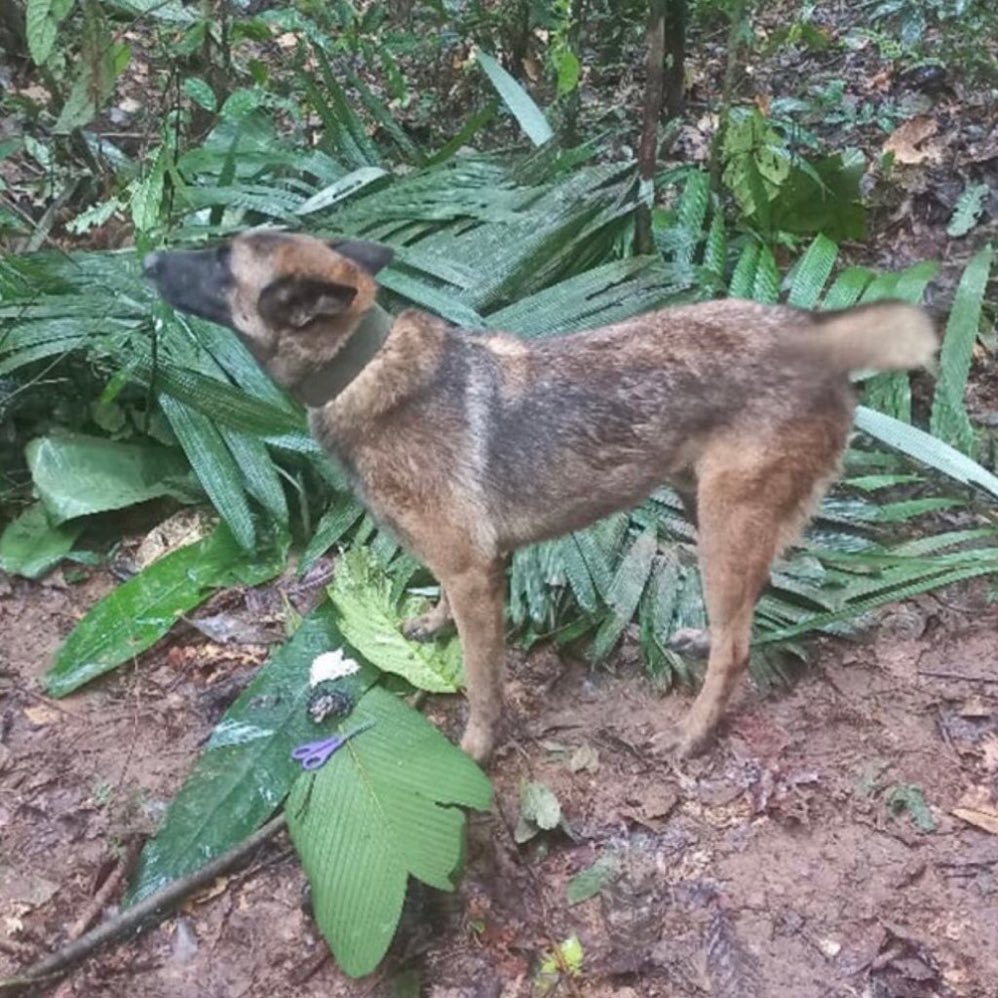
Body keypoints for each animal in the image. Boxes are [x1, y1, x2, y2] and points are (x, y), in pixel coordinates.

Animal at [145, 232, 940, 764]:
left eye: (219, 260)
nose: (147, 260)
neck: (362, 367)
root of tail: (817, 336)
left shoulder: (475, 575)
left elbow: (480, 681)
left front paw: (476, 747)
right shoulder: (464, 568)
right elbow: (446, 612)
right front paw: (431, 624)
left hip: (725, 520)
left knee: (740, 644)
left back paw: (693, 731)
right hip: (705, 508)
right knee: (745, 608)